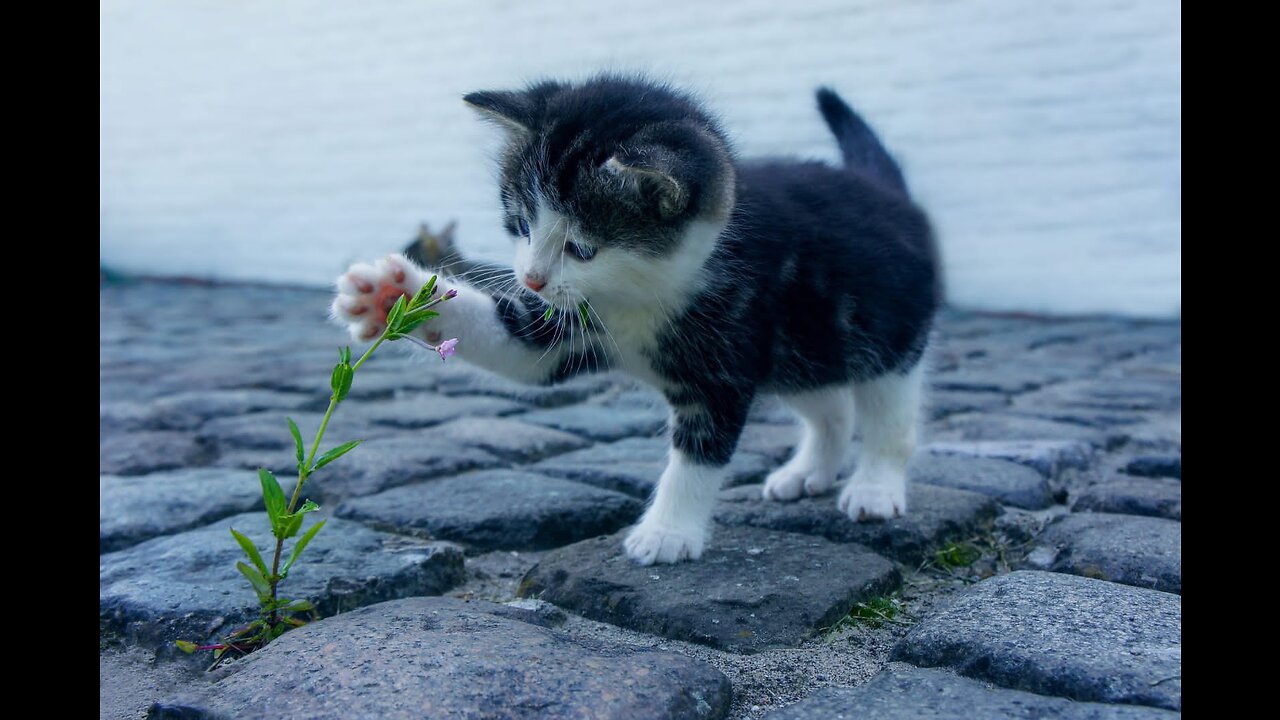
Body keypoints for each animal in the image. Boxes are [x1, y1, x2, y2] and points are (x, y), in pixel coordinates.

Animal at [335, 74, 947, 566]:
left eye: (582, 248)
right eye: (521, 224)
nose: (530, 279)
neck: (640, 294)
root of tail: (888, 193)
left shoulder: (724, 358)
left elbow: (698, 454)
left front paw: (667, 533)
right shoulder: (568, 324)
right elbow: (518, 347)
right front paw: (392, 296)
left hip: (885, 333)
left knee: (889, 414)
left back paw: (874, 487)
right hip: (803, 348)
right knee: (830, 406)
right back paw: (808, 472)